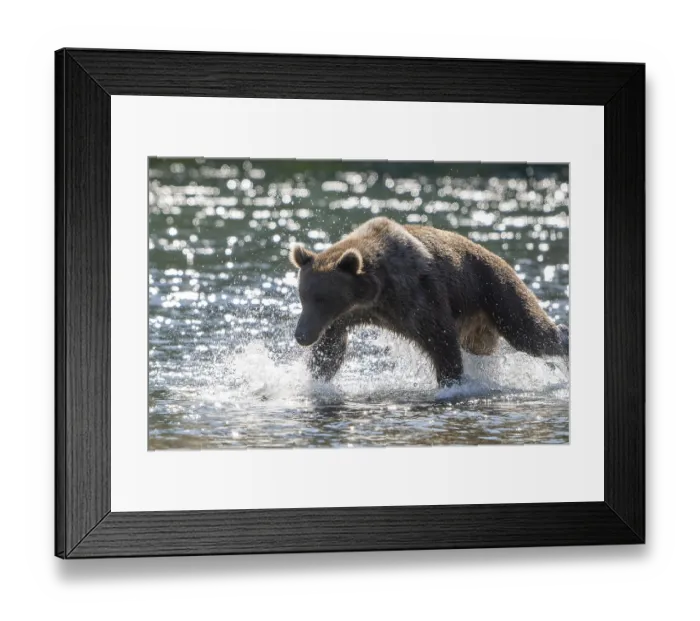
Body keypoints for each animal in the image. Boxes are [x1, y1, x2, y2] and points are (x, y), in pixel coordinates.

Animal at [290, 217, 569, 387]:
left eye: (322, 298)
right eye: (302, 297)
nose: (301, 335)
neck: (376, 293)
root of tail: (500, 258)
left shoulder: (419, 296)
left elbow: (441, 341)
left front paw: (451, 382)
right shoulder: (347, 316)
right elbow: (331, 349)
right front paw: (315, 379)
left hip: (495, 290)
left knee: (529, 332)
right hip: (477, 325)